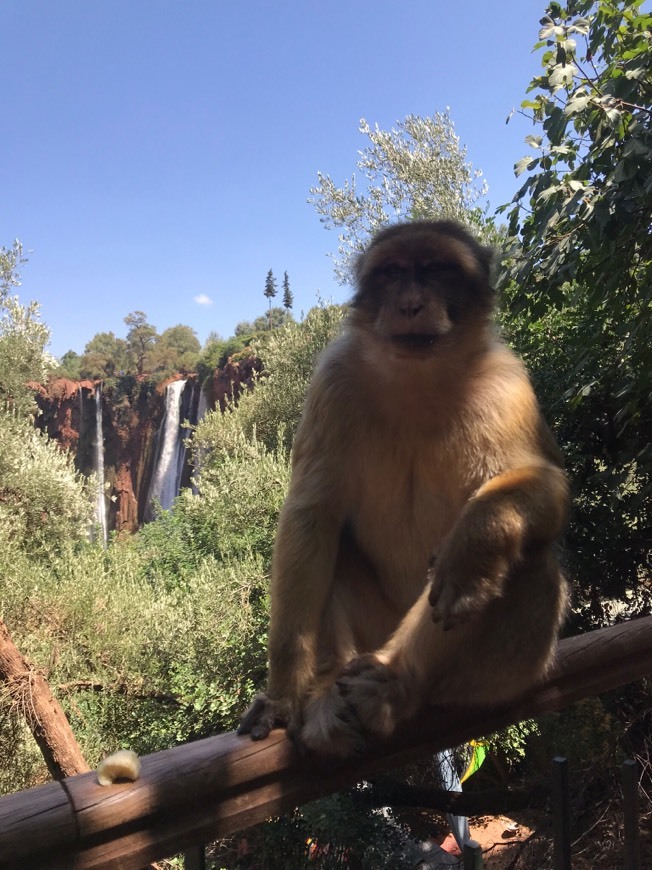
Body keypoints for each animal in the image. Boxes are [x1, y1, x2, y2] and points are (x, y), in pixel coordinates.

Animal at [237, 221, 568, 760]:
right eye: (392, 273)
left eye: (435, 270)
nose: (411, 304)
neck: (419, 380)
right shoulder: (333, 380)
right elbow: (311, 516)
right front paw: (283, 695)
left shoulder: (508, 387)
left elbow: (549, 486)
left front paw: (473, 546)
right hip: (373, 629)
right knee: (330, 545)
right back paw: (326, 693)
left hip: (498, 676)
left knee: (531, 561)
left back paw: (397, 684)